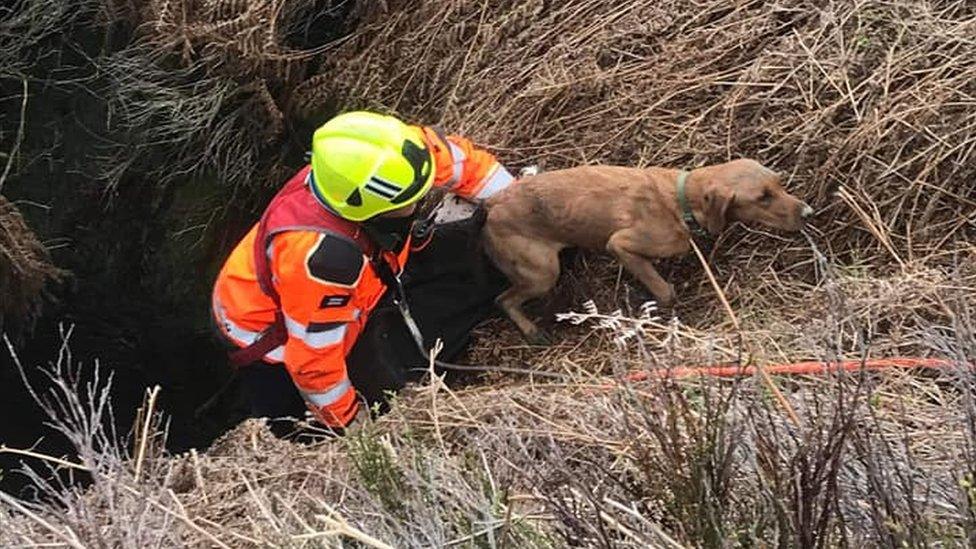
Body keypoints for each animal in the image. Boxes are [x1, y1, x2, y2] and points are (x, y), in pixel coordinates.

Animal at [482, 156, 816, 342]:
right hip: (542, 273)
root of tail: (492, 204)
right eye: (762, 197)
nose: (808, 212)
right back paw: (530, 330)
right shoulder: (620, 244)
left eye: (779, 184)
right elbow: (664, 289)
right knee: (502, 300)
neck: (681, 199)